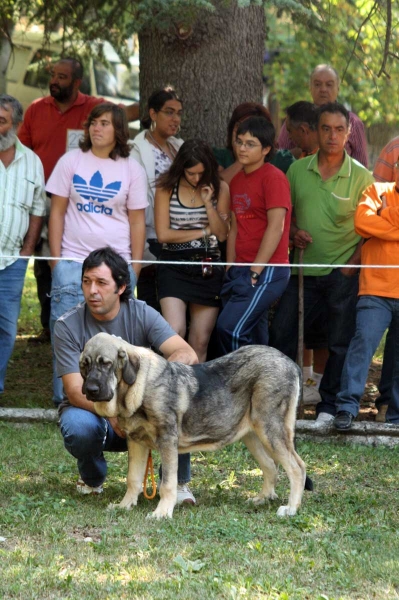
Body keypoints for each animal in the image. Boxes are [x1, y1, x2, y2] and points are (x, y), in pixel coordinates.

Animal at [80, 332, 306, 520]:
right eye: (84, 365)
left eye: (106, 364)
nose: (90, 390)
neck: (137, 387)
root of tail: (291, 363)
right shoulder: (136, 442)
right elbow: (133, 478)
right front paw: (124, 505)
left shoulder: (167, 441)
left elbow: (167, 483)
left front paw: (162, 513)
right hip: (252, 435)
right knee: (270, 466)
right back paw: (262, 498)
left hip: (270, 429)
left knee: (297, 467)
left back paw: (291, 508)